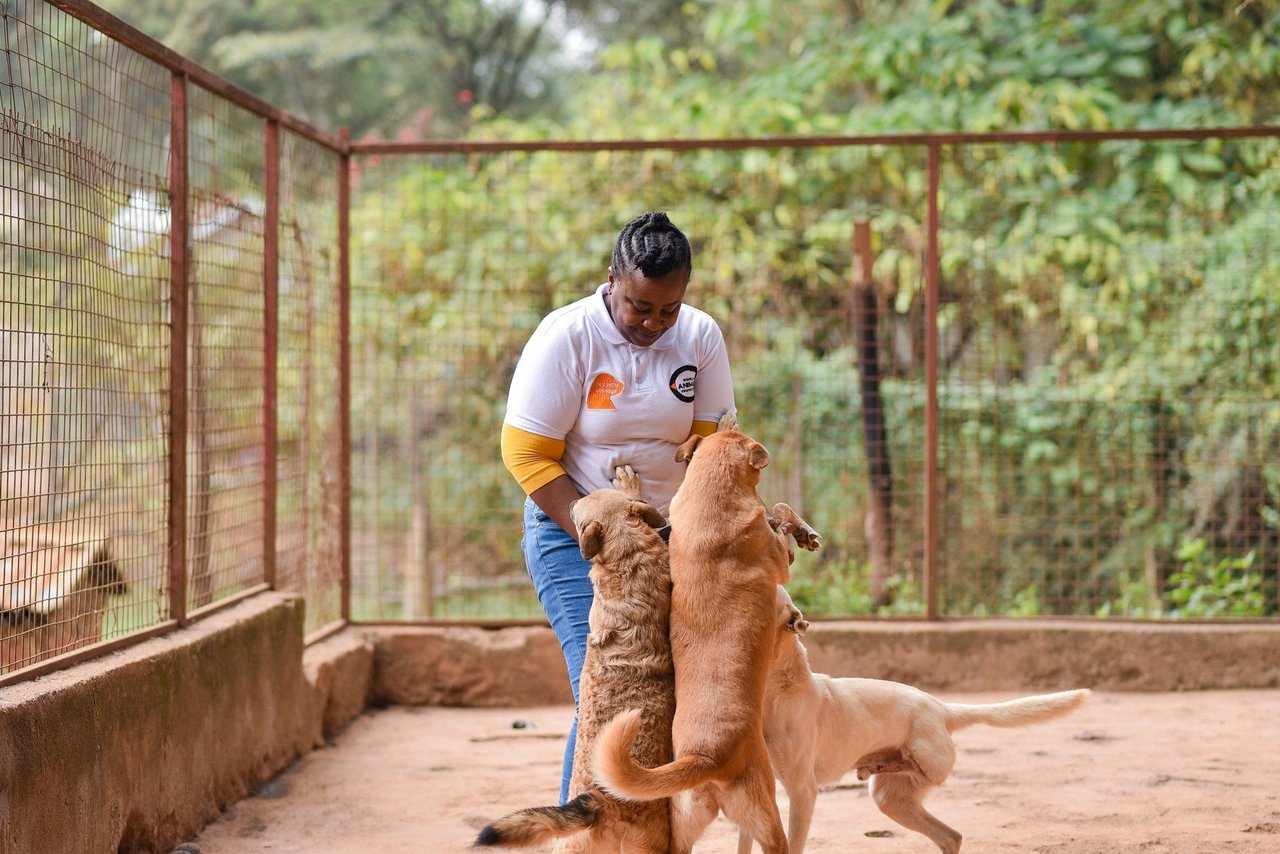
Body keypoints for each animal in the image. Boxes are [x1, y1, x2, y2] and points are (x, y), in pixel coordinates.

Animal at [588, 430, 819, 850]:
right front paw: (801, 532)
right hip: (768, 816)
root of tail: (705, 758)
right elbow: (779, 514)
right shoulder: (780, 562)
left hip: (681, 827)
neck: (709, 504)